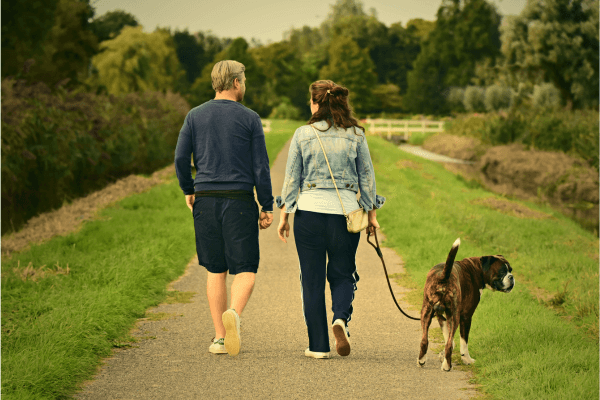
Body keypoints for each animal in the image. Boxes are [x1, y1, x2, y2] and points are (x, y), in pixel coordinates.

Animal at [418, 238, 516, 372]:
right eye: (502, 271)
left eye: (510, 270)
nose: (511, 277)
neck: (477, 269)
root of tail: (444, 276)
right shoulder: (466, 317)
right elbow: (463, 343)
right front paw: (467, 360)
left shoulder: (441, 316)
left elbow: (449, 339)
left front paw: (442, 355)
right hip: (454, 316)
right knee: (448, 344)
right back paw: (447, 366)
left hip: (426, 312)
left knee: (424, 340)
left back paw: (421, 361)